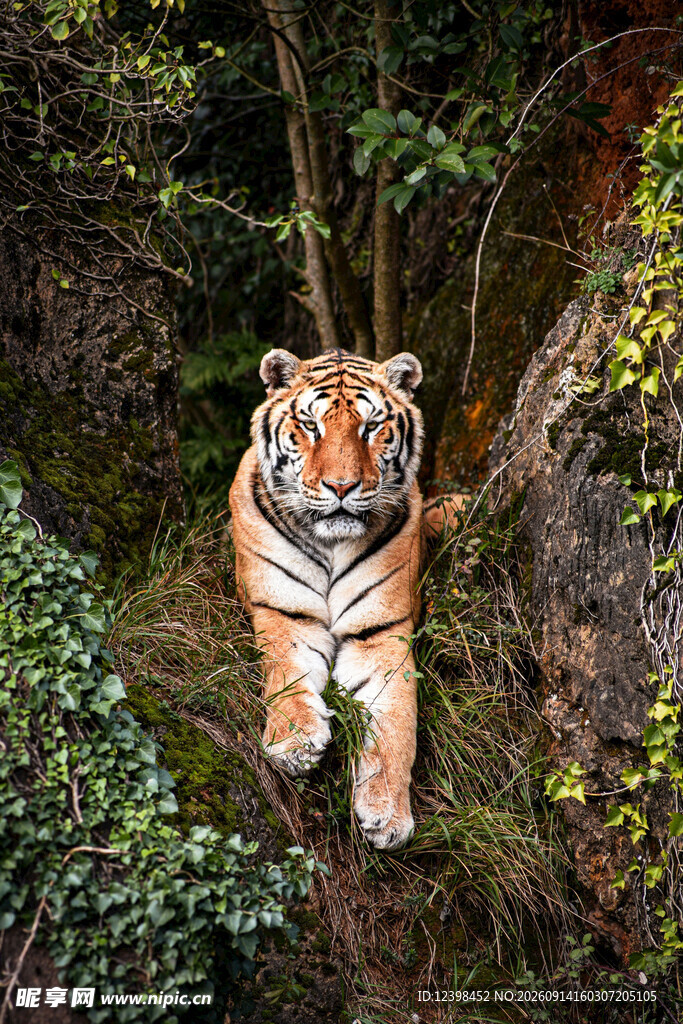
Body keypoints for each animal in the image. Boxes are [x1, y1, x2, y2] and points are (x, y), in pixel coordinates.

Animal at [229, 346, 459, 851]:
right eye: (311, 426)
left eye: (370, 427)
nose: (340, 488)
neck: (333, 543)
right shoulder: (284, 612)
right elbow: (284, 672)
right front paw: (294, 743)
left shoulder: (382, 632)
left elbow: (396, 720)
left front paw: (388, 812)